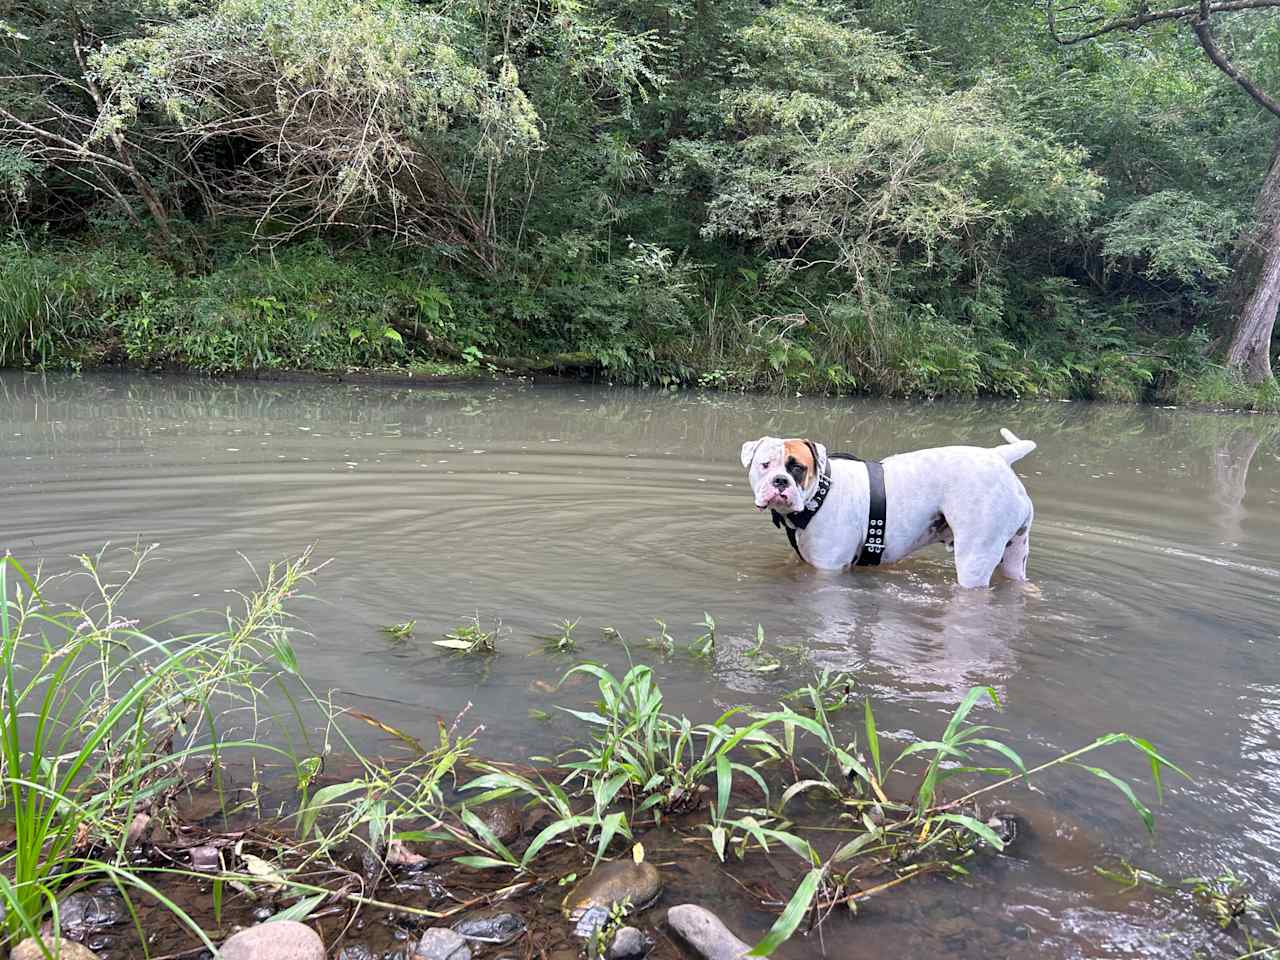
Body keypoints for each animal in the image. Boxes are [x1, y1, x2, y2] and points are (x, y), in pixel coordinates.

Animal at [747, 432, 1034, 591]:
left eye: (798, 468)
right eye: (765, 464)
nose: (780, 481)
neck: (820, 493)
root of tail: (999, 456)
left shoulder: (828, 571)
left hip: (974, 561)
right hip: (1014, 557)